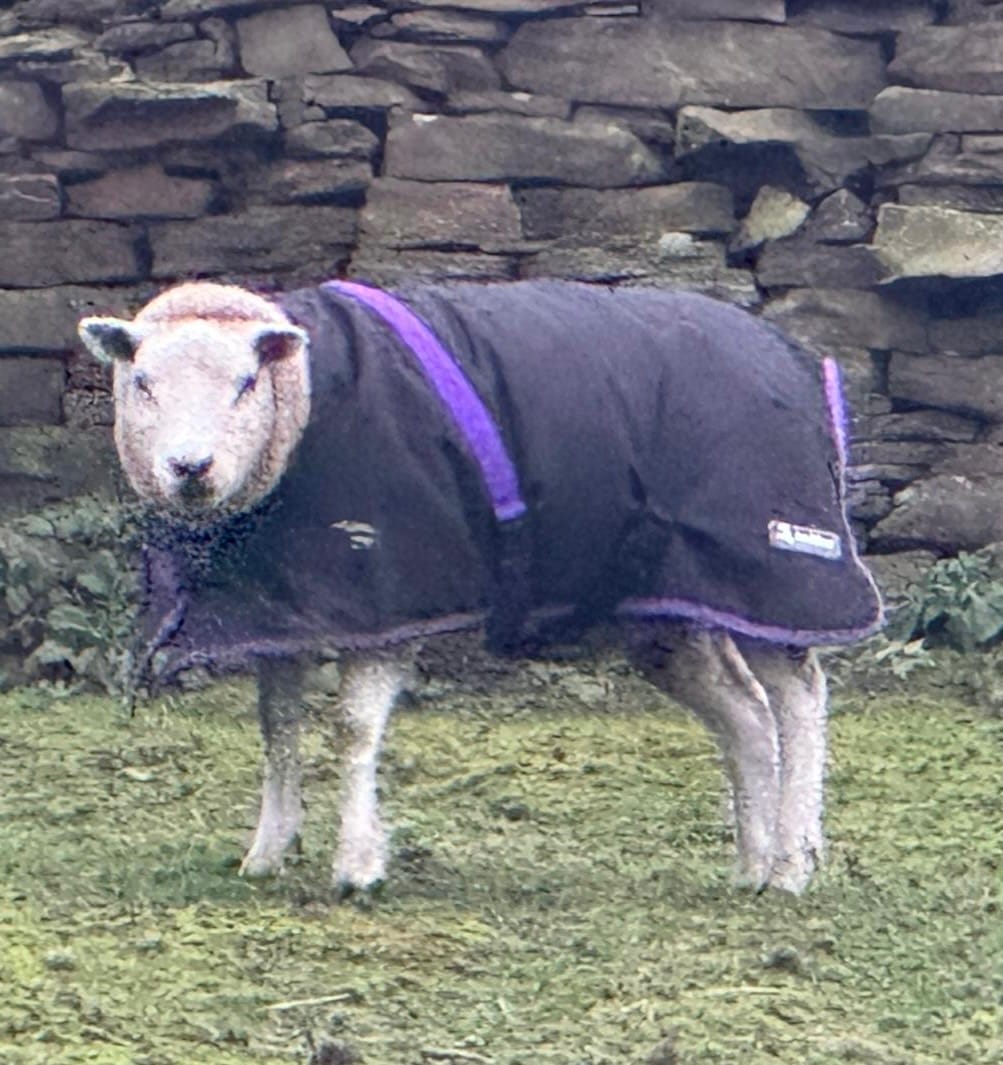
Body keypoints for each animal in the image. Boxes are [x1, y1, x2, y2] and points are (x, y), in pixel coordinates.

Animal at [78, 278, 882, 895]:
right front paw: (267, 852)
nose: (190, 468)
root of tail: (795, 358)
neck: (306, 409)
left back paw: (791, 863)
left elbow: (352, 728)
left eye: (246, 384)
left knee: (799, 697)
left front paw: (357, 865)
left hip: (775, 561)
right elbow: (277, 730)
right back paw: (750, 866)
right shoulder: (291, 610)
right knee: (743, 712)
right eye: (142, 383)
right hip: (672, 601)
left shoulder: (391, 597)